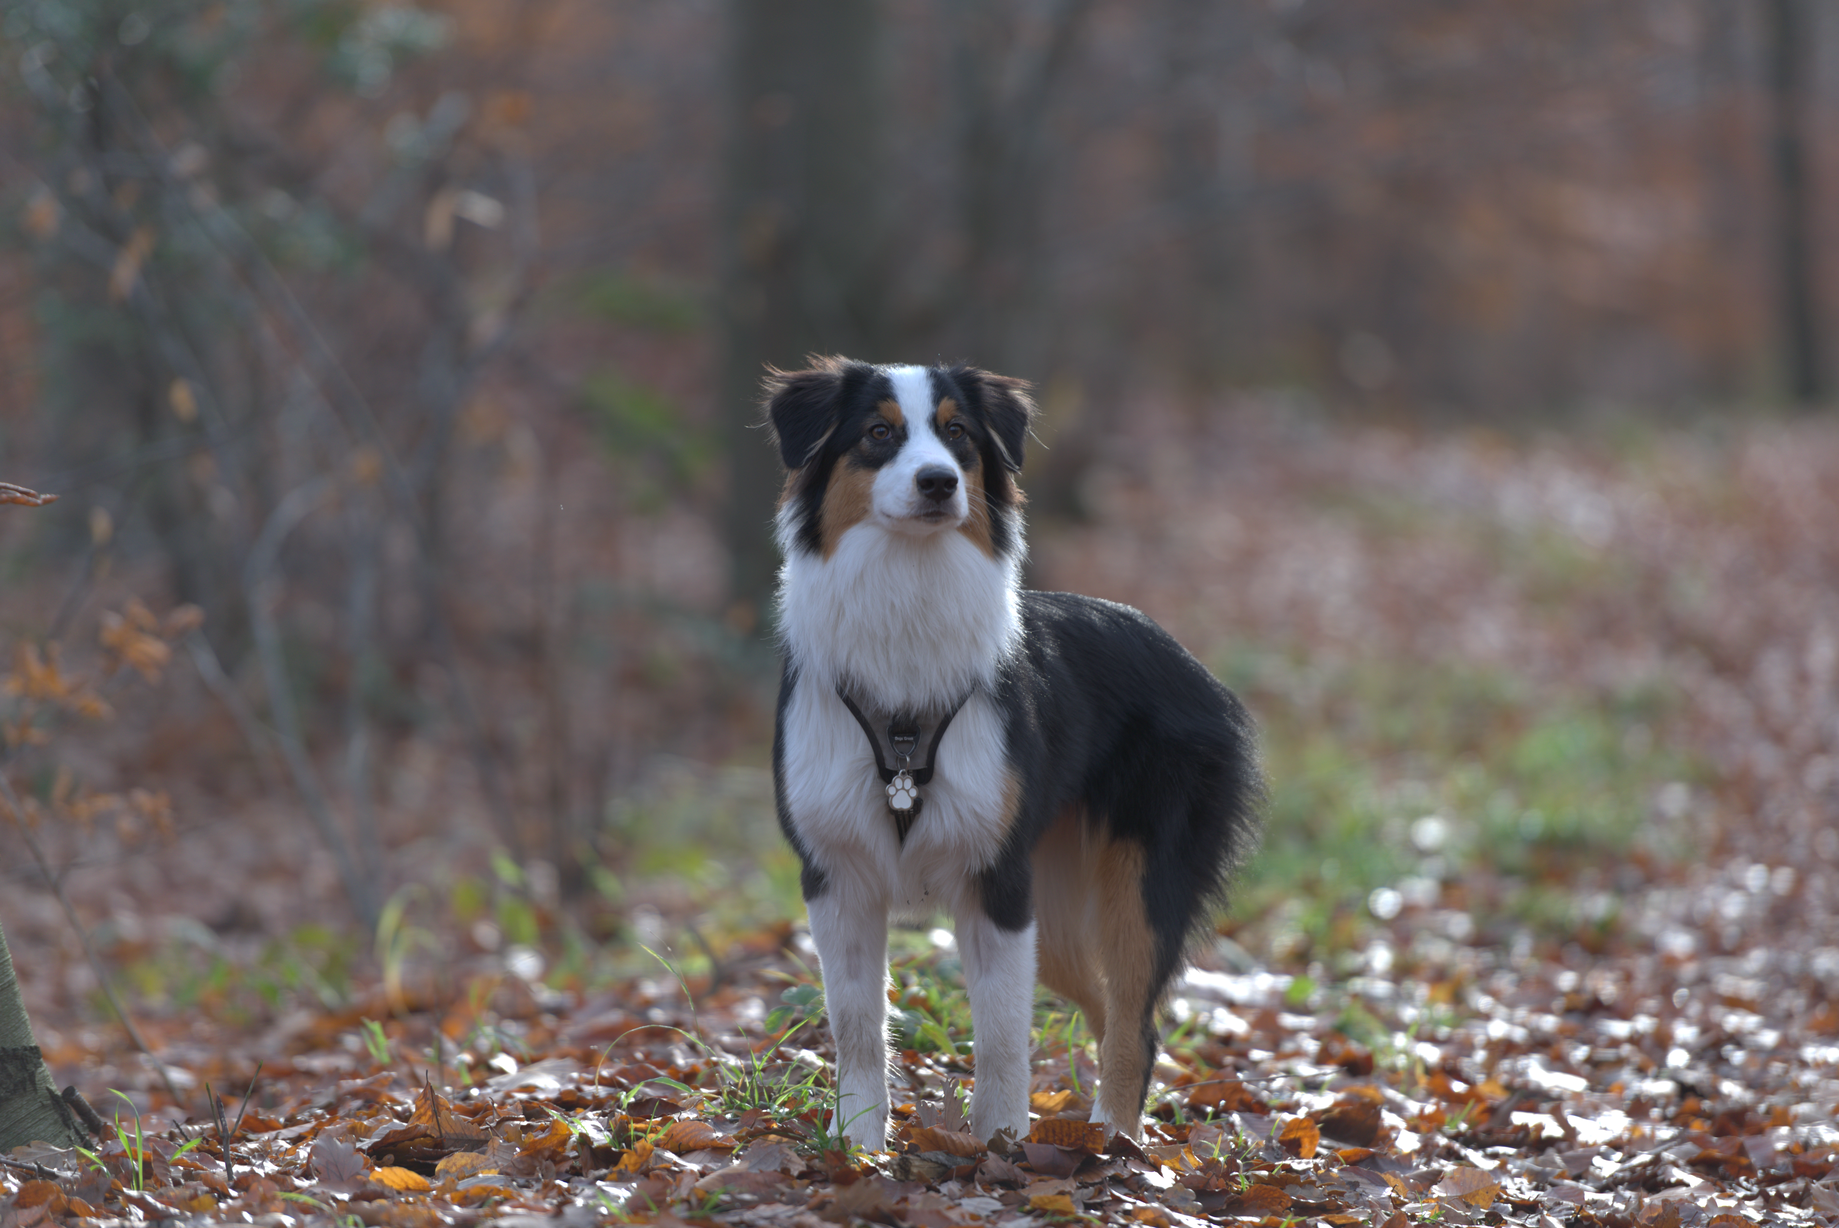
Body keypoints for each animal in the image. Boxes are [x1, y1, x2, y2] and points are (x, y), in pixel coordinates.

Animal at [765, 356, 1265, 1154]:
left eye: (958, 434)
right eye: (877, 432)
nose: (939, 481)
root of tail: (1191, 665)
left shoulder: (995, 881)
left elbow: (1000, 1035)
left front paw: (999, 1143)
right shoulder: (836, 876)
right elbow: (857, 1028)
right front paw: (857, 1150)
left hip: (1136, 885)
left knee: (1135, 1024)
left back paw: (1116, 1148)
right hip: (1054, 910)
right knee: (1108, 1012)